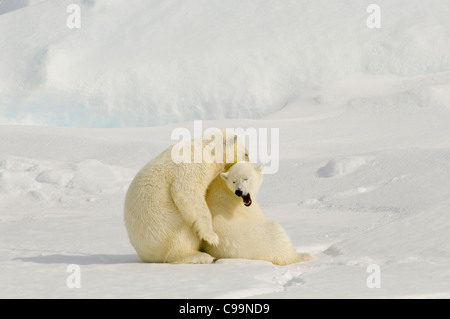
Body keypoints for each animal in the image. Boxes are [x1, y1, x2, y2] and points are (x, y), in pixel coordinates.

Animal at [125, 130, 248, 264]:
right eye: (245, 153)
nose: (249, 161)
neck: (206, 150)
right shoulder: (189, 167)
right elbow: (188, 192)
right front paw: (212, 237)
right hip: (166, 228)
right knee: (180, 239)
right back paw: (200, 256)